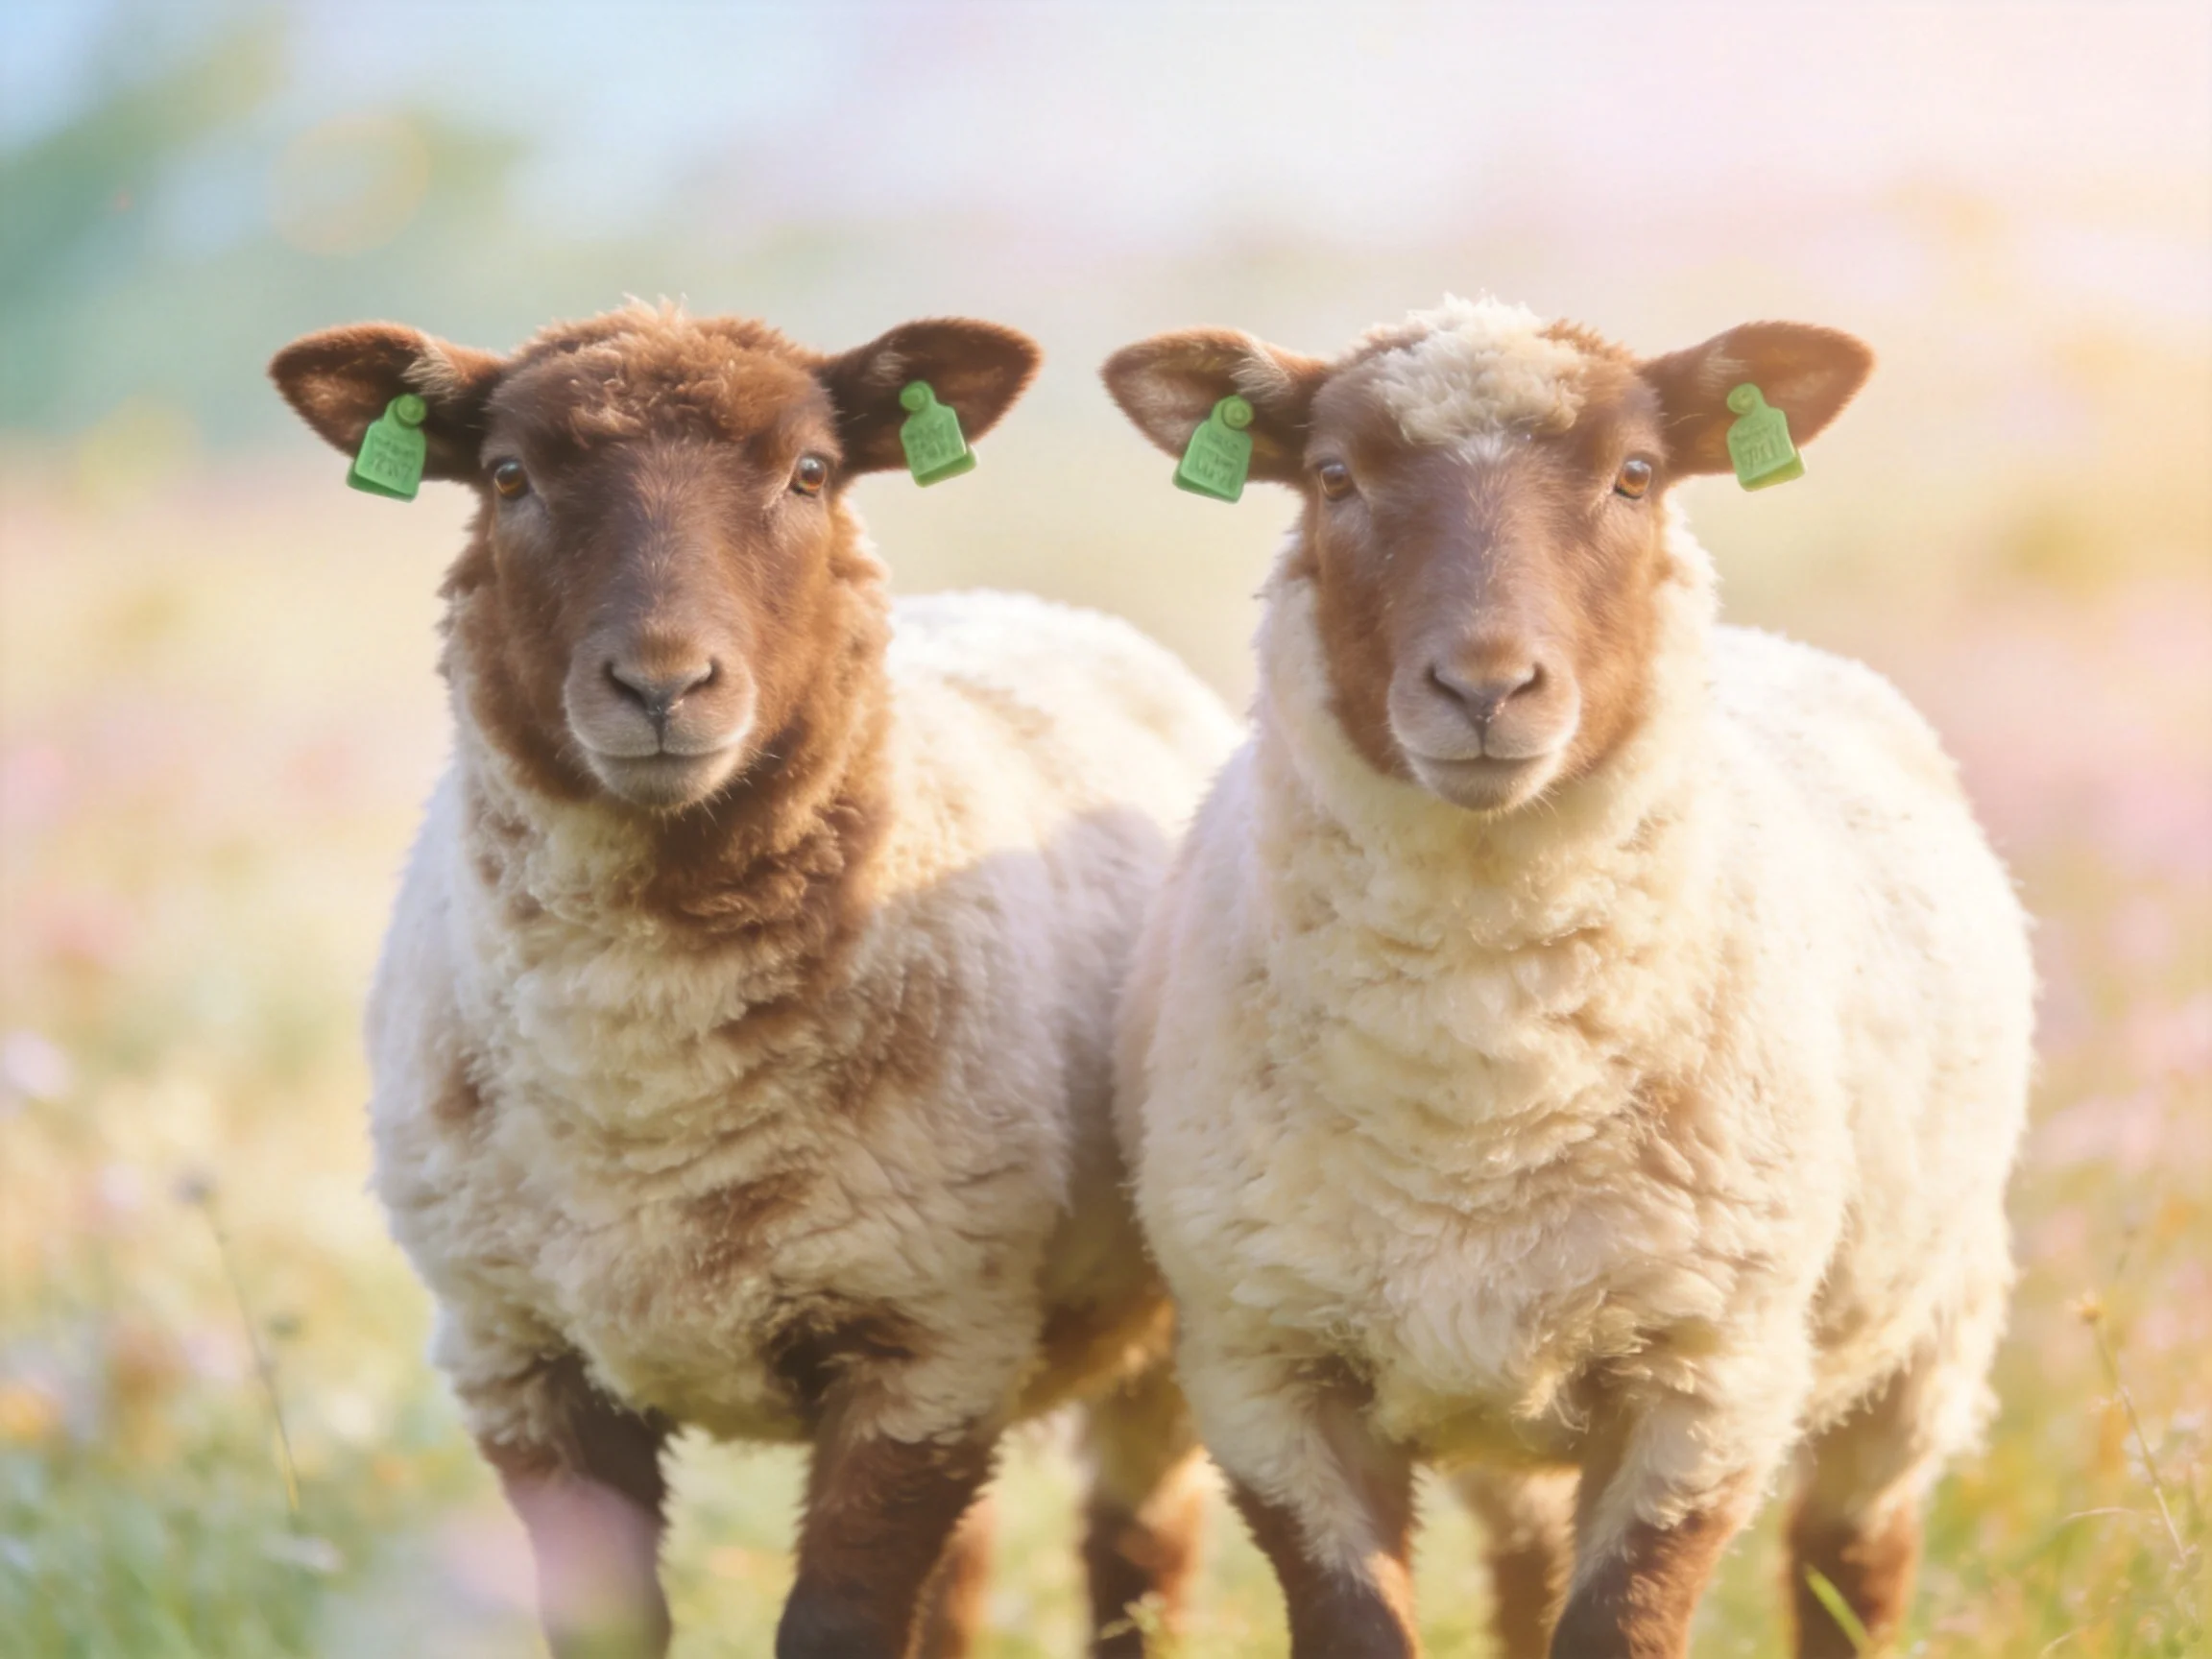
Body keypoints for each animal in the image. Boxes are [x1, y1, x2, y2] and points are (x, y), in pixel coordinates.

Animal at [268, 301, 1240, 1659]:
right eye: (509, 477)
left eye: (810, 473)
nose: (662, 686)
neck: (647, 1082)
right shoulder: (523, 1361)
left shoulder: (920, 1347)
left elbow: (837, 1630)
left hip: (1149, 1329)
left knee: (1139, 1557)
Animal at [1102, 296, 2034, 1659]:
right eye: (1334, 478)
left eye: (1635, 475)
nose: (1485, 688)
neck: (1485, 1094)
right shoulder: (1265, 1372)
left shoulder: (1710, 1379)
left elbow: (1622, 1625)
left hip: (1925, 1333)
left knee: (1853, 1562)